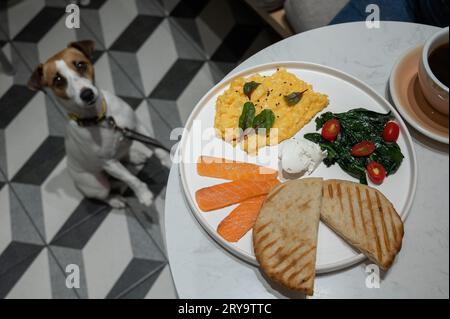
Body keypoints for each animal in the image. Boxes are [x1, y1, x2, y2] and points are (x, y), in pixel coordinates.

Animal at [27, 40, 171, 209]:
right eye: (58, 80)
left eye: (80, 64)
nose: (87, 94)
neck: (102, 119)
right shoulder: (109, 163)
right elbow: (131, 179)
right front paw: (143, 194)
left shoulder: (138, 127)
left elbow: (159, 151)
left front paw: (171, 162)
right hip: (97, 186)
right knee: (104, 195)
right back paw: (116, 200)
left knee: (124, 155)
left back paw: (134, 156)